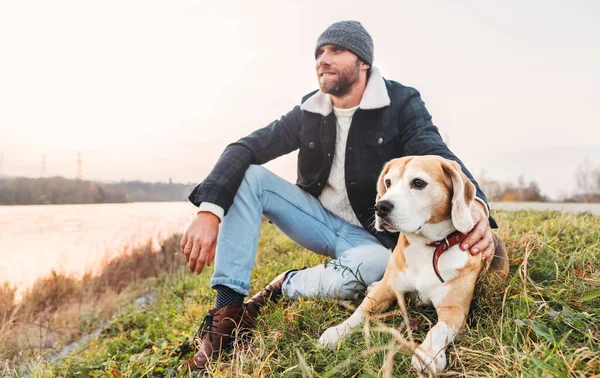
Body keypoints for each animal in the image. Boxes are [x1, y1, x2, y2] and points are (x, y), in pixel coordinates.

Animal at [316, 156, 508, 376]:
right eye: (388, 182)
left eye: (418, 183)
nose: (380, 207)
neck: (426, 247)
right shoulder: (388, 289)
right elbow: (361, 310)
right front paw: (337, 331)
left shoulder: (454, 310)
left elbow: (438, 329)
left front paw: (428, 353)